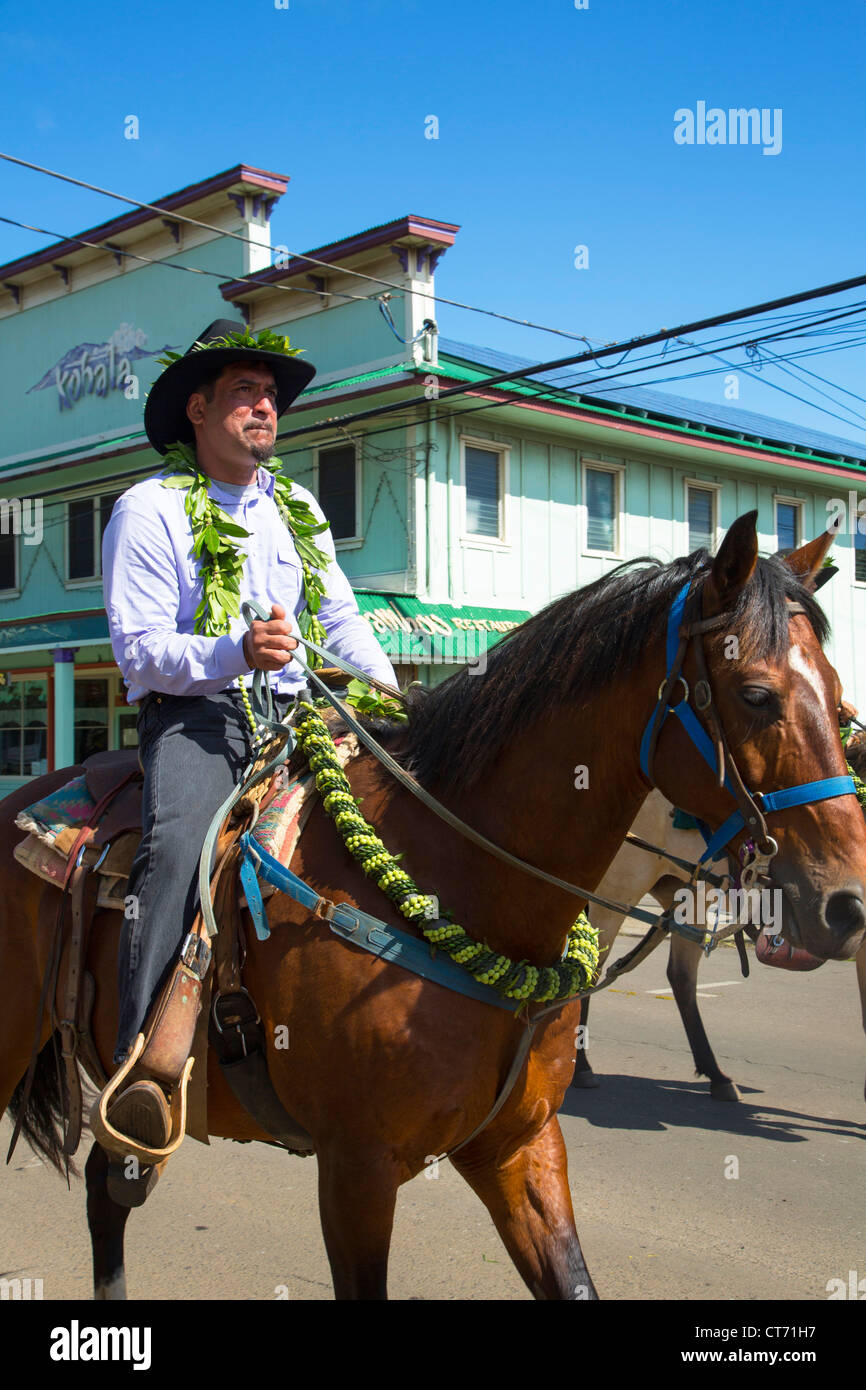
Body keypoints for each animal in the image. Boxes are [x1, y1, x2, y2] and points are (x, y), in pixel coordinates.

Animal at [1, 514, 866, 1301]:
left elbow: (573, 1279)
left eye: (842, 705)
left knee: (107, 1190)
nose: (847, 902)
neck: (465, 885)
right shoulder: (355, 1169)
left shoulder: (519, 1148)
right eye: (756, 695)